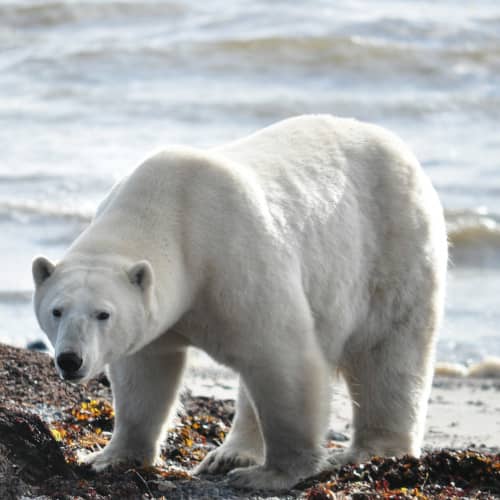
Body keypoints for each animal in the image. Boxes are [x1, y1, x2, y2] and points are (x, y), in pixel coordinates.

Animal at [31, 115, 448, 490]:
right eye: (56, 311)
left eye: (103, 314)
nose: (70, 360)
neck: (172, 213)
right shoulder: (160, 314)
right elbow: (145, 374)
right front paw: (109, 458)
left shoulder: (234, 261)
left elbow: (282, 357)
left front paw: (272, 475)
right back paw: (230, 454)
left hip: (392, 247)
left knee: (388, 354)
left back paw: (374, 450)